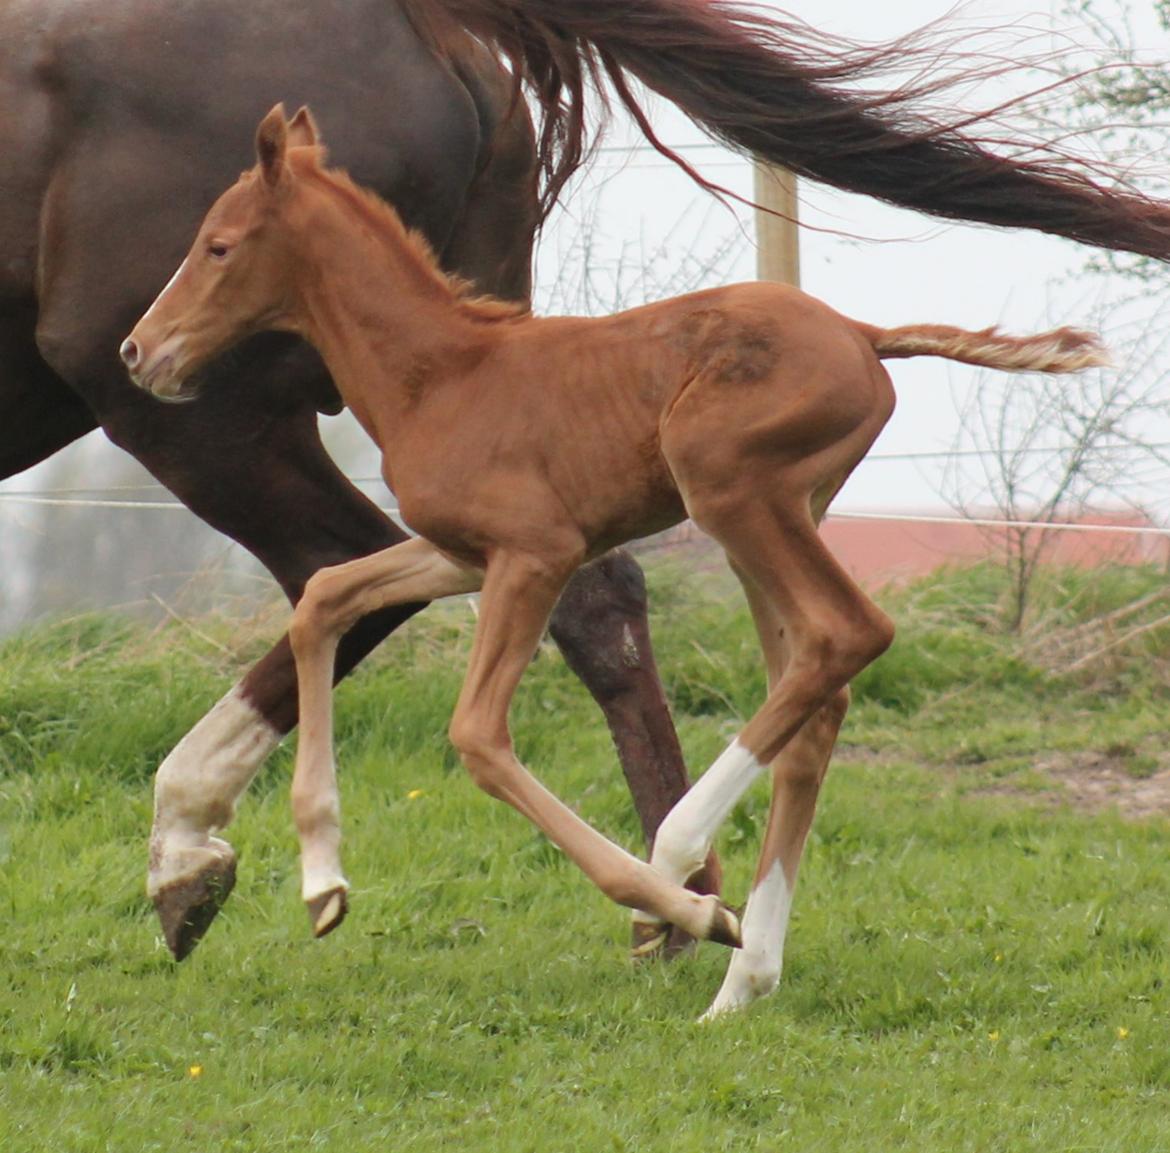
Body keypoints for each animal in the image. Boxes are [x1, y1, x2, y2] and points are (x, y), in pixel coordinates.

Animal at [9, 0, 1170, 959]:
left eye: (216, 244)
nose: (140, 352)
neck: (443, 368)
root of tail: (863, 333)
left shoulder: (534, 552)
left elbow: (476, 733)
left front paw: (675, 903)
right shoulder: (457, 549)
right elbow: (331, 599)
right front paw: (319, 884)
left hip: (722, 495)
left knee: (845, 635)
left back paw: (687, 874)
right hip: (781, 515)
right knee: (814, 675)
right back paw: (740, 943)